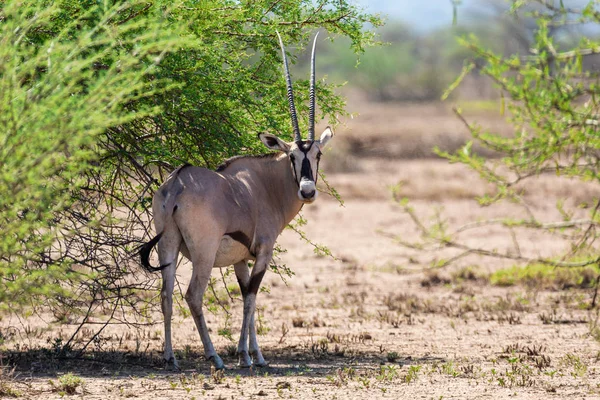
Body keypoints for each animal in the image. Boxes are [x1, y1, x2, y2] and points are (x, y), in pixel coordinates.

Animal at [141, 32, 336, 370]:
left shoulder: (240, 259)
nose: (308, 191)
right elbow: (252, 297)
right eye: (292, 155)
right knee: (193, 295)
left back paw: (170, 357)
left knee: (165, 295)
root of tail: (177, 183)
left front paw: (249, 353)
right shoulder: (263, 252)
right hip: (203, 253)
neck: (264, 185)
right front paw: (250, 356)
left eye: (317, 154)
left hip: (168, 244)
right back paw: (214, 357)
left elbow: (246, 295)